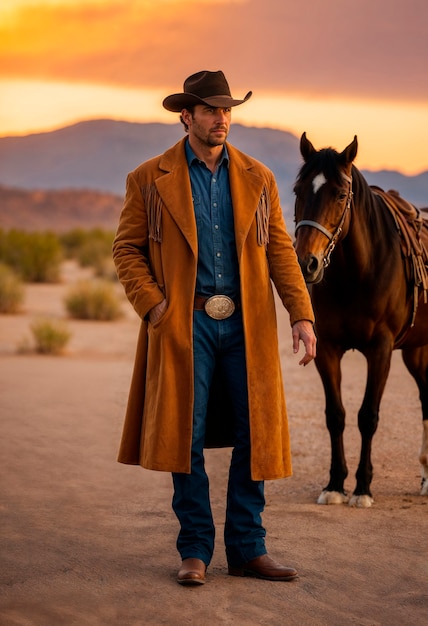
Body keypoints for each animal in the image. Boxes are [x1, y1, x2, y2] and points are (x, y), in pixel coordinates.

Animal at [294, 134, 428, 504]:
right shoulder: (326, 348)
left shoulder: (380, 350)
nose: (307, 262)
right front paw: (335, 484)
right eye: (298, 190)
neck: (358, 272)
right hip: (417, 352)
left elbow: (367, 416)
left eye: (340, 194)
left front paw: (363, 487)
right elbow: (335, 415)